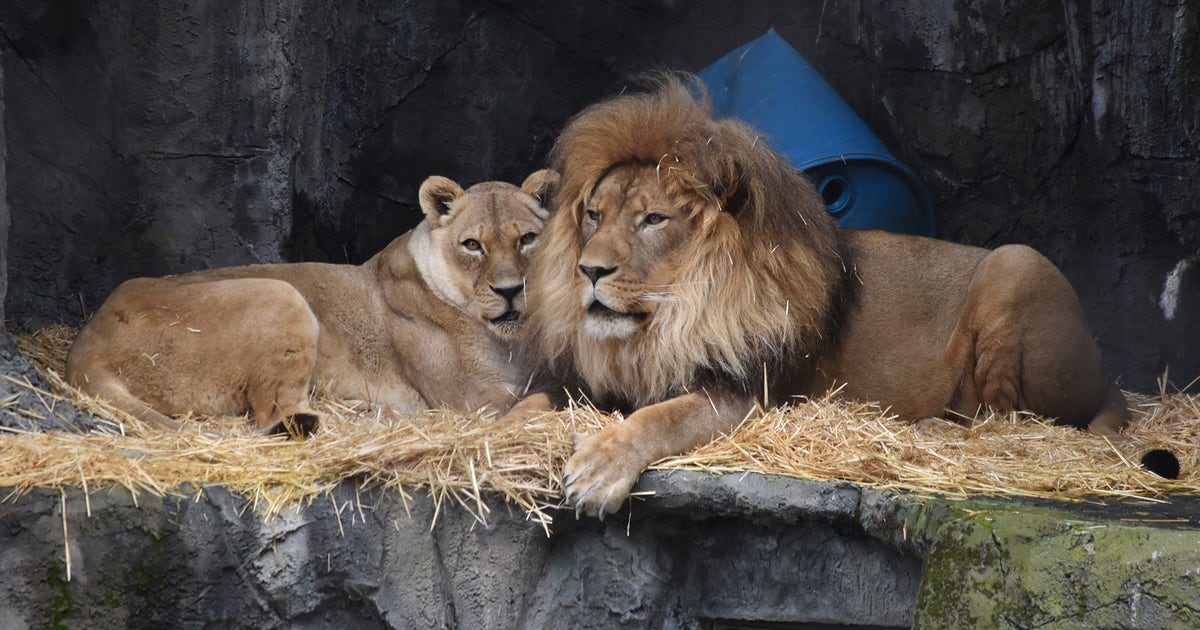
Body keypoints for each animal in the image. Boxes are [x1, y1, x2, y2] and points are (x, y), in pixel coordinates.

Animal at [66, 170, 558, 434]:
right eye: (472, 245)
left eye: (527, 239)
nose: (510, 290)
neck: (507, 339)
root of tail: (84, 347)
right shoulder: (471, 399)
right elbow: (545, 398)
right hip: (280, 293)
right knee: (273, 414)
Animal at [517, 76, 1132, 518]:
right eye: (594, 216)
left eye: (653, 220)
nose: (589, 270)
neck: (664, 326)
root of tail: (1110, 376)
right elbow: (534, 401)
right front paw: (507, 429)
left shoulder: (750, 395)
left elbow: (661, 418)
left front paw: (598, 467)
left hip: (1017, 263)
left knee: (1010, 421)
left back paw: (935, 429)